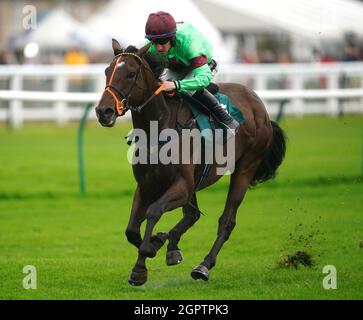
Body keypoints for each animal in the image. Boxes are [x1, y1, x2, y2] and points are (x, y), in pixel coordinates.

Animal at [96, 38, 288, 286]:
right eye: (107, 71)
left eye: (130, 74)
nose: (103, 111)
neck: (159, 128)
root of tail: (259, 105)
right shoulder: (147, 186)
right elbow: (131, 230)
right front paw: (157, 242)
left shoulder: (181, 186)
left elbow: (153, 212)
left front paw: (141, 265)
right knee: (192, 215)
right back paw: (172, 246)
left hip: (245, 168)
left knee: (226, 221)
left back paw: (203, 266)